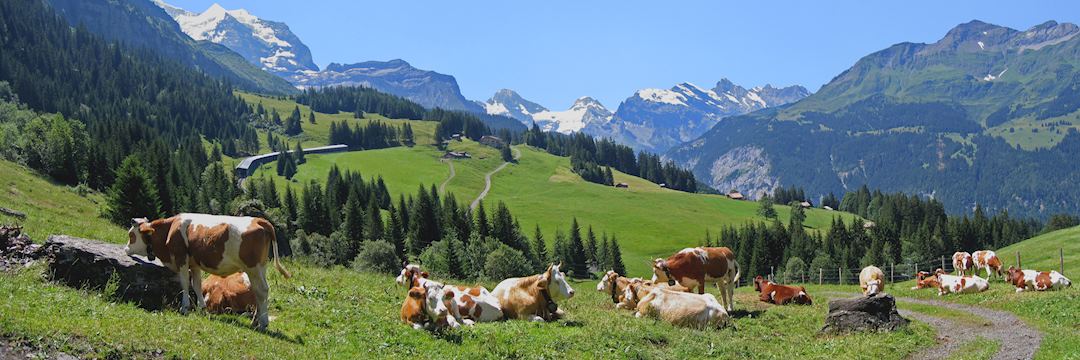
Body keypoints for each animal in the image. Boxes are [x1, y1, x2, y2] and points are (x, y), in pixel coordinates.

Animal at [125, 212, 291, 330]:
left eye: (131, 235)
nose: (126, 249)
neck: (170, 229)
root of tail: (259, 220)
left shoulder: (181, 259)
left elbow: (184, 284)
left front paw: (185, 308)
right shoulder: (195, 264)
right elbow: (196, 285)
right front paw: (201, 308)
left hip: (252, 267)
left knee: (262, 291)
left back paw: (263, 323)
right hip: (260, 267)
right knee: (258, 292)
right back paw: (255, 321)